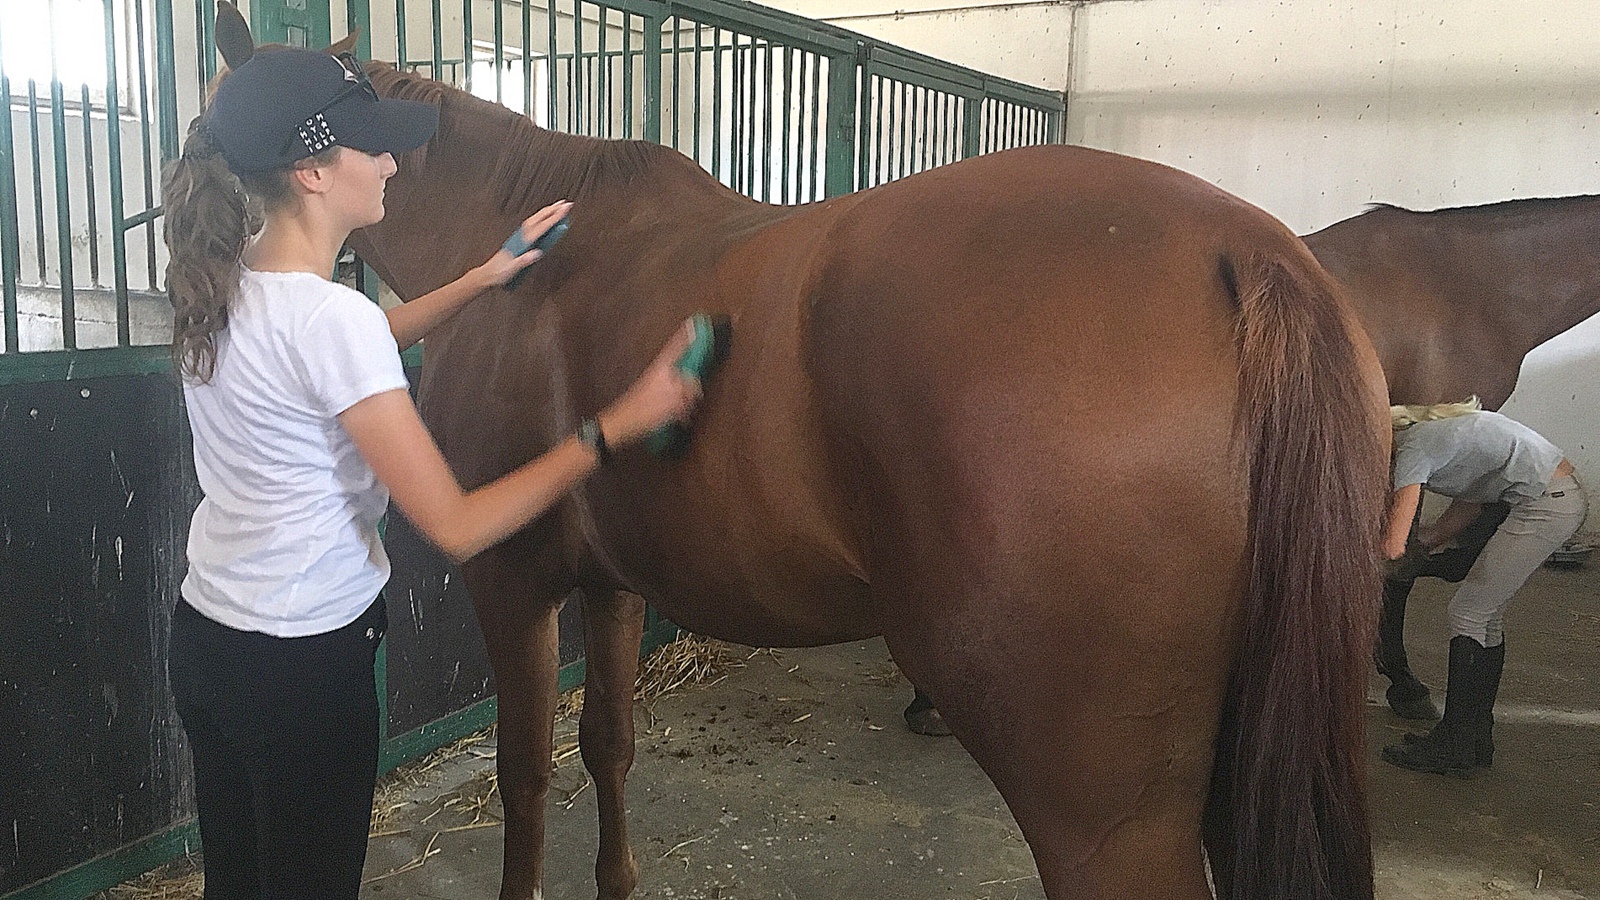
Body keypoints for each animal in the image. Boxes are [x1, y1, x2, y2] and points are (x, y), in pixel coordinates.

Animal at [209, 13, 1390, 895]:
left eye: (207, 133)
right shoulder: (611, 584)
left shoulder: (512, 579)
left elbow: (526, 774)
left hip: (1100, 810)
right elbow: (607, 745)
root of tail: (1244, 251)